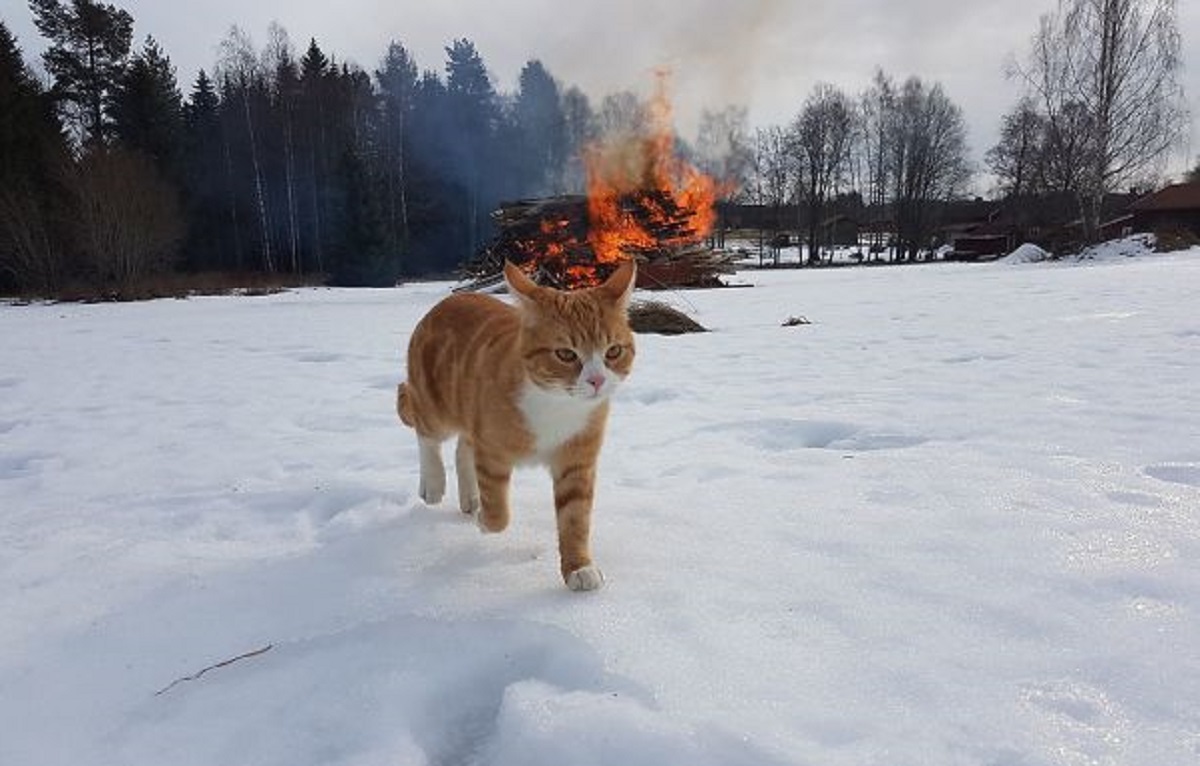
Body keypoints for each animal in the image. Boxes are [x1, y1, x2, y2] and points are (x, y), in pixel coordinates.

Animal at [396, 261, 638, 590]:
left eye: (613, 351)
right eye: (566, 354)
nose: (597, 381)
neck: (556, 405)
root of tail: (443, 304)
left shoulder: (577, 459)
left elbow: (575, 517)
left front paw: (579, 567)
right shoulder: (492, 450)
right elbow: (499, 513)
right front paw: (485, 521)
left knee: (462, 447)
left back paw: (470, 498)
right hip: (435, 404)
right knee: (426, 430)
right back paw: (434, 484)